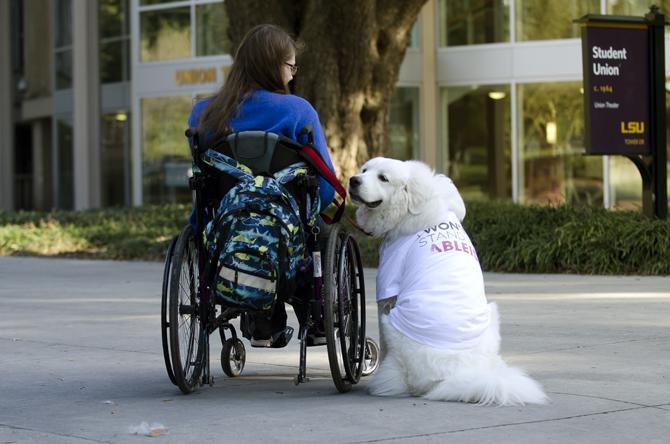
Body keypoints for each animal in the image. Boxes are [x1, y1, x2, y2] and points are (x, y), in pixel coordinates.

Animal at [350, 157, 548, 406]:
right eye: (364, 170)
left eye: (383, 178)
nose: (353, 180)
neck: (410, 209)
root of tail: (456, 375)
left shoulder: (387, 289)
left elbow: (382, 342)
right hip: (492, 316)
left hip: (393, 323)